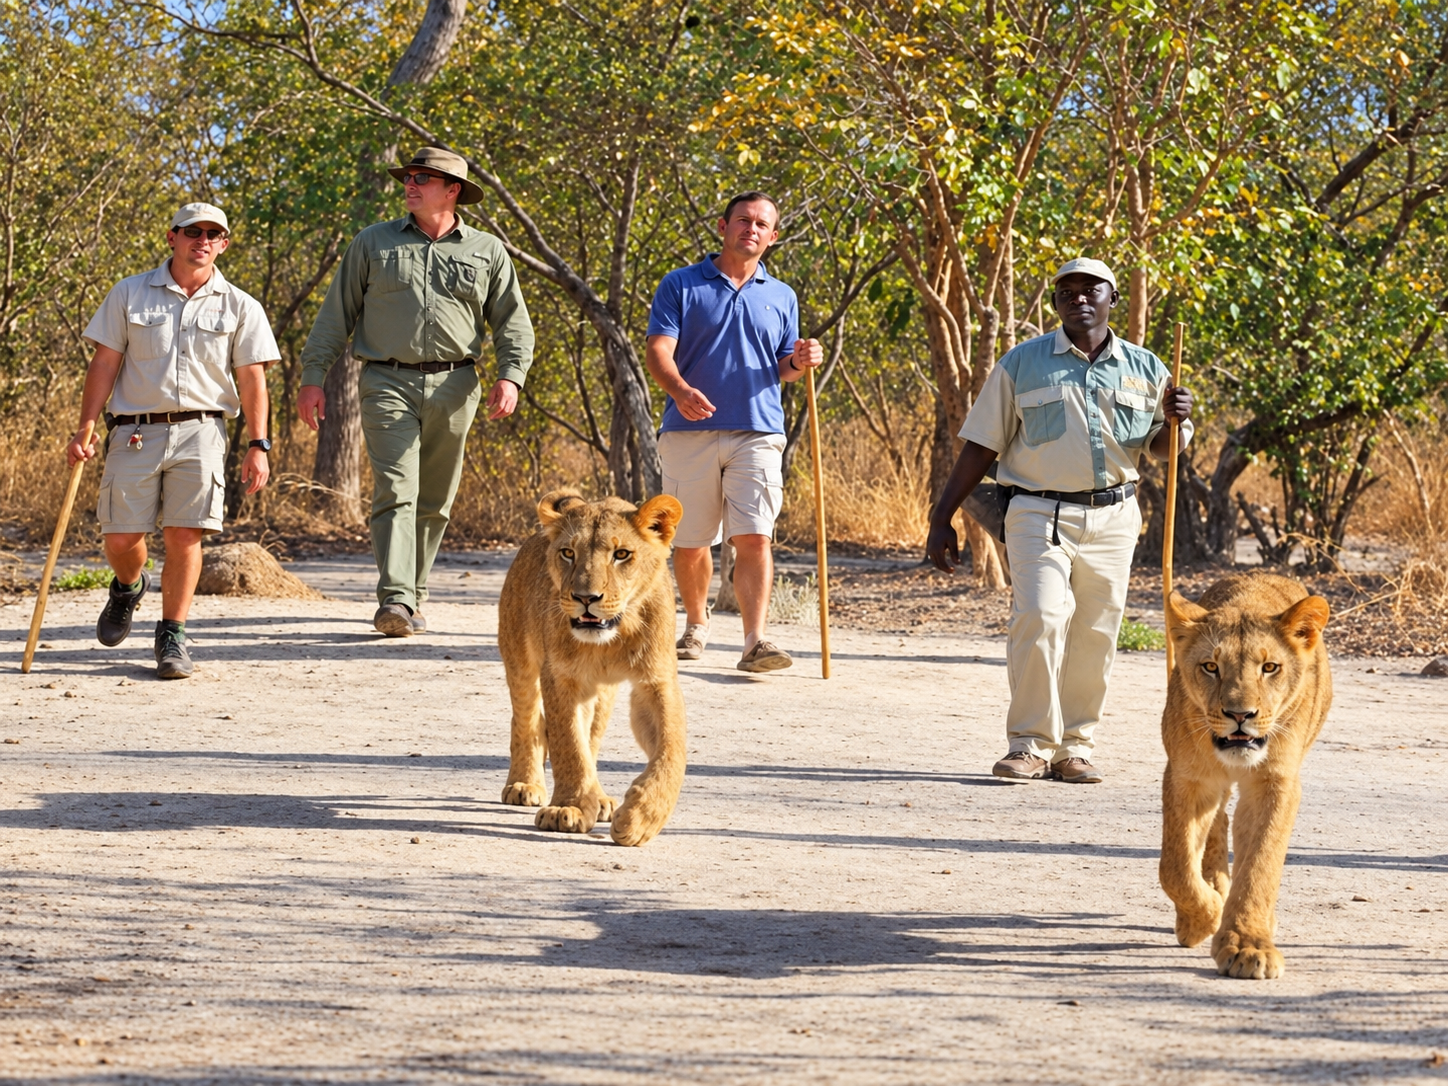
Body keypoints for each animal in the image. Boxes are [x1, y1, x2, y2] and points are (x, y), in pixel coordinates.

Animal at [497, 489, 687, 847]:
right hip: (520, 661)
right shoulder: (560, 676)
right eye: (568, 553)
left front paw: (642, 818)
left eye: (622, 554)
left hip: (604, 693)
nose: (586, 598)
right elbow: (569, 744)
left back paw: (599, 800)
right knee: (527, 721)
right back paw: (525, 784)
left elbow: (672, 747)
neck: (612, 638)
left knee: (592, 736)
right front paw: (567, 808)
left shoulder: (656, 680)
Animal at [1160, 573, 1332, 979]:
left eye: (1269, 668)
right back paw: (1216, 889)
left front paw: (1248, 944)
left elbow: (1260, 864)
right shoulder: (1188, 778)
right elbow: (1175, 867)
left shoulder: (1275, 783)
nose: (1241, 715)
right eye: (1211, 667)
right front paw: (1201, 919)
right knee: (1218, 824)